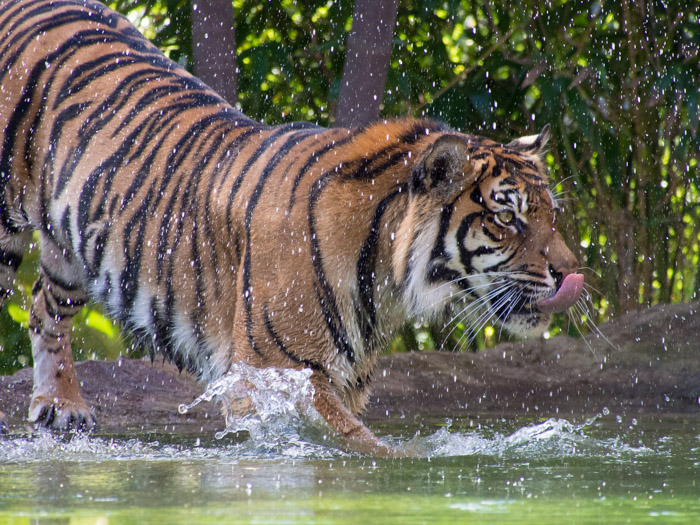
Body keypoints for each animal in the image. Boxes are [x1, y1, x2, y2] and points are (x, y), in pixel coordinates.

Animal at [0, 0, 583, 454]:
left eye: (550, 215)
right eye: (506, 217)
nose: (571, 273)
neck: (385, 277)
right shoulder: (272, 376)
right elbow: (358, 444)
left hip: (74, 249)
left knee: (43, 304)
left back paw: (60, 404)